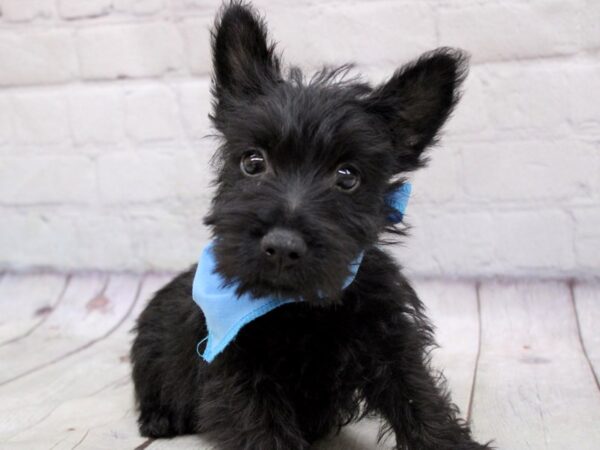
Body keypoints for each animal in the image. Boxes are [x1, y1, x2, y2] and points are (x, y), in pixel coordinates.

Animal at [130, 1, 488, 448]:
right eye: (253, 161)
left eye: (348, 176)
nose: (283, 246)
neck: (301, 304)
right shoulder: (241, 374)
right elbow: (264, 430)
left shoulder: (390, 341)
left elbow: (421, 402)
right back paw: (159, 418)